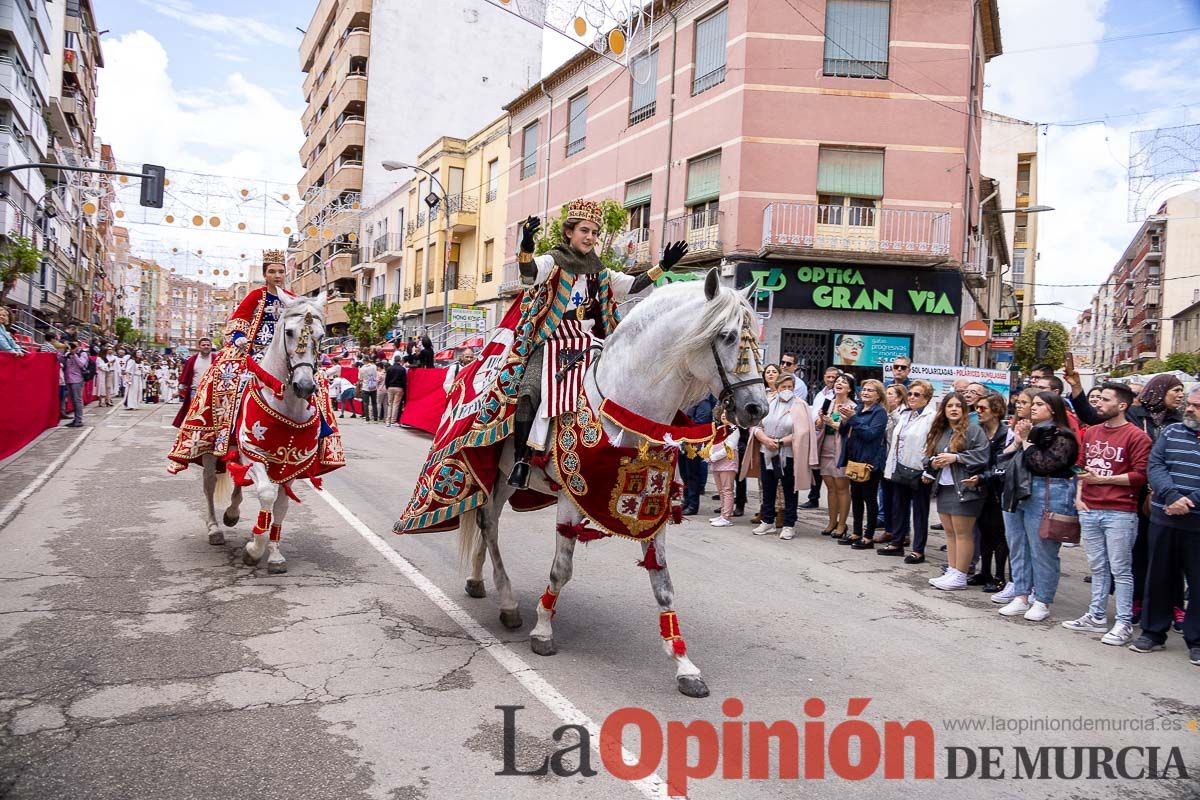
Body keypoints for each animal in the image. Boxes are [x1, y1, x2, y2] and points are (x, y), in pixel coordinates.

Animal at [458, 272, 768, 695]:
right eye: (727, 336)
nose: (757, 408)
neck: (624, 409)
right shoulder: (572, 500)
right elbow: (561, 569)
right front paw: (543, 631)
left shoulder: (651, 510)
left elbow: (663, 582)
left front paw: (684, 666)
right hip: (504, 473)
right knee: (488, 523)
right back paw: (507, 604)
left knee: (485, 519)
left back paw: (477, 580)